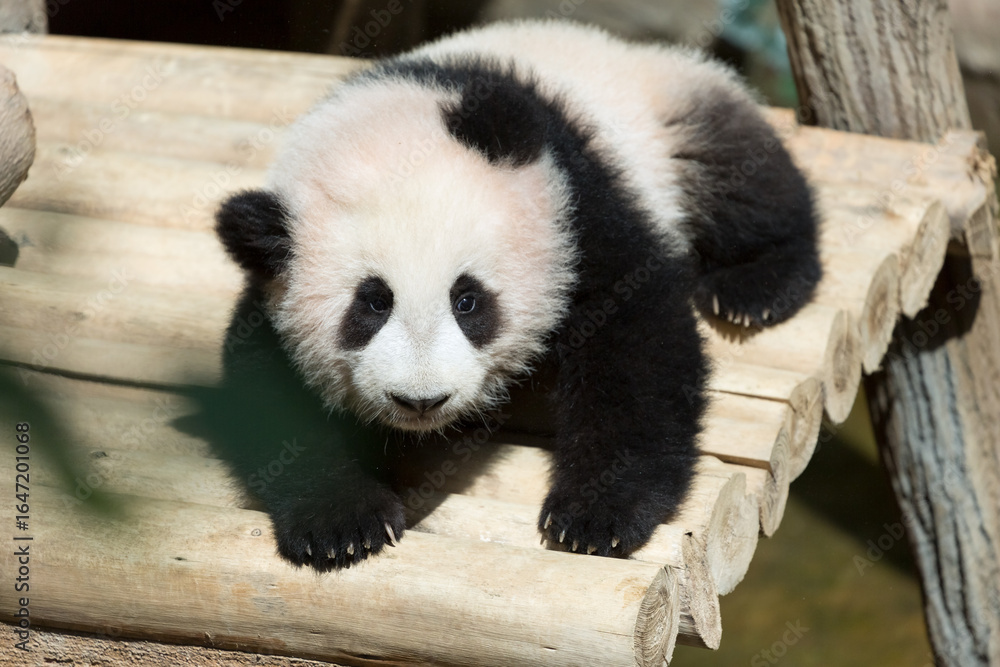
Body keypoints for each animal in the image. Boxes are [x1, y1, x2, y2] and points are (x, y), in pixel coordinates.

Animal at [213, 20, 821, 570]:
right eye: (371, 305)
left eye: (468, 300)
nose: (422, 400)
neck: (387, 119)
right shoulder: (269, 283)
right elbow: (265, 392)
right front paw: (342, 525)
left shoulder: (572, 205)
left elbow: (636, 338)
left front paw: (596, 516)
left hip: (671, 116)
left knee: (746, 184)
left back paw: (756, 285)